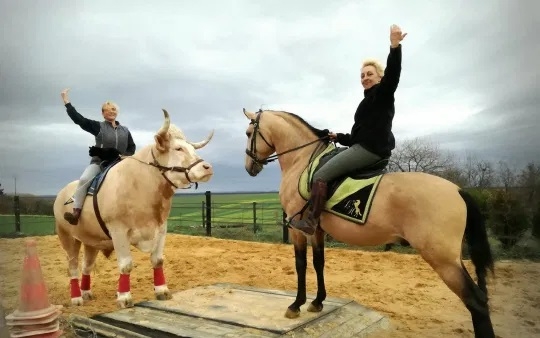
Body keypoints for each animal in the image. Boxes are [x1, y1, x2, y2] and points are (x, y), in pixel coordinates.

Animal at [52, 109, 213, 308]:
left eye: (192, 149)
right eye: (178, 149)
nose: (207, 168)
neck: (140, 186)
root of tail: (61, 194)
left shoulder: (161, 228)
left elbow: (158, 260)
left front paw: (162, 290)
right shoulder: (118, 230)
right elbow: (126, 264)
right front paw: (124, 297)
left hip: (91, 241)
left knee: (86, 266)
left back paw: (86, 292)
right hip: (67, 237)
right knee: (73, 266)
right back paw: (76, 298)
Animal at [243, 108, 496, 338]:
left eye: (248, 133)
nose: (249, 167)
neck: (303, 161)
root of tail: (457, 190)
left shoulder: (298, 228)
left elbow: (301, 264)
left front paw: (296, 305)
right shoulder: (317, 231)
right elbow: (318, 263)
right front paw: (317, 302)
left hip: (443, 259)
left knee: (475, 300)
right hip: (451, 258)